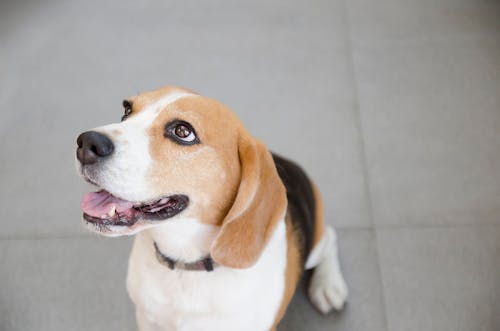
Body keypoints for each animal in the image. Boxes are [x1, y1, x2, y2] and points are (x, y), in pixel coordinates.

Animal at [76, 86, 348, 331]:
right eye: (127, 110)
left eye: (183, 131)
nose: (86, 142)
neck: (187, 267)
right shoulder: (148, 320)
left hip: (314, 245)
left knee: (330, 237)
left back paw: (328, 286)